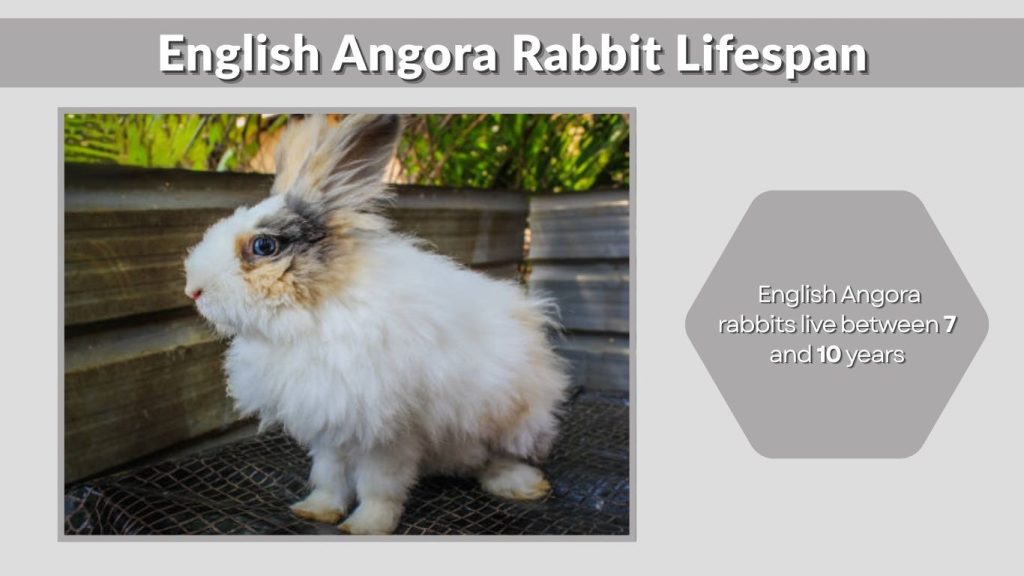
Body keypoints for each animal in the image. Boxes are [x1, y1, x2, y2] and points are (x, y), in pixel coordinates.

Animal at [183, 114, 570, 535]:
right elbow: (330, 475)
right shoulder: (331, 423)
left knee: (498, 458)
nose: (193, 291)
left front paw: (366, 526)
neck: (314, 312)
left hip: (514, 422)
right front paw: (316, 511)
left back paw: (522, 486)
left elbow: (379, 486)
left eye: (263, 246)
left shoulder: (387, 432)